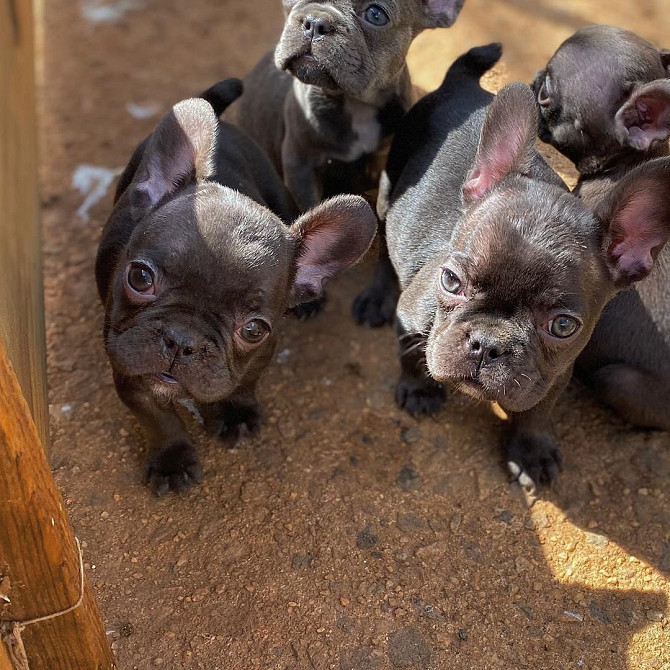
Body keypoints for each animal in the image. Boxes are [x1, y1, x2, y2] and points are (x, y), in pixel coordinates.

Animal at [96, 80, 378, 498]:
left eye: (254, 330)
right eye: (140, 278)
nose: (182, 340)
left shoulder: (259, 357)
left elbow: (242, 384)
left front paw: (234, 414)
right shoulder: (129, 368)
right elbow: (159, 420)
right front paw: (171, 461)